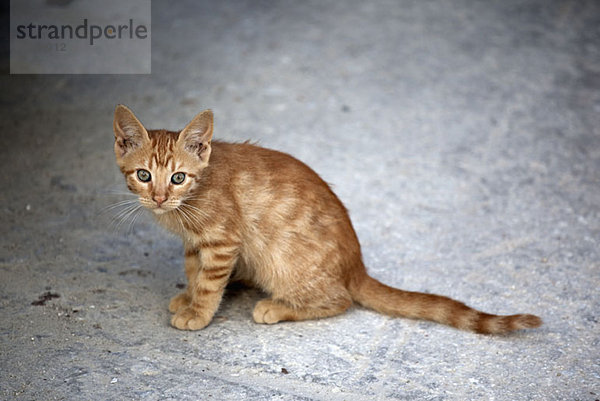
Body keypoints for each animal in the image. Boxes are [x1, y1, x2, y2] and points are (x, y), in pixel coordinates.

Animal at [112, 104, 544, 332]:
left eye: (178, 177)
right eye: (144, 175)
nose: (160, 197)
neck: (187, 205)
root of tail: (356, 266)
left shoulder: (223, 241)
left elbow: (208, 283)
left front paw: (198, 313)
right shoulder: (195, 244)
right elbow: (193, 272)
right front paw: (187, 298)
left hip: (283, 263)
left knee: (339, 300)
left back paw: (276, 307)